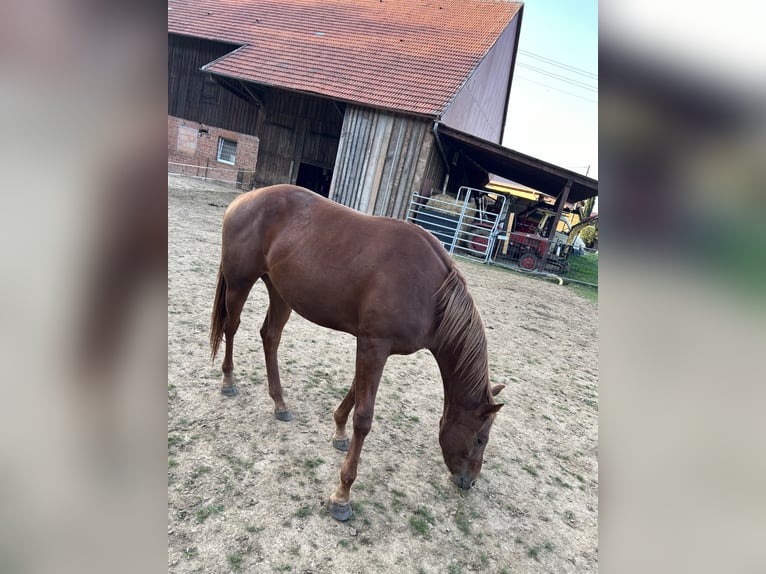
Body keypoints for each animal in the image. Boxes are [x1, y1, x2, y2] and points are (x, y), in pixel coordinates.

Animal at [213, 184, 508, 520]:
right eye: (481, 438)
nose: (469, 481)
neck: (431, 293)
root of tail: (245, 199)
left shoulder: (373, 346)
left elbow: (355, 391)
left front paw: (339, 431)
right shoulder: (374, 345)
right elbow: (364, 418)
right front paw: (342, 494)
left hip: (280, 292)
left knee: (270, 337)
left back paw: (279, 402)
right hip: (240, 283)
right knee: (231, 327)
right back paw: (228, 381)